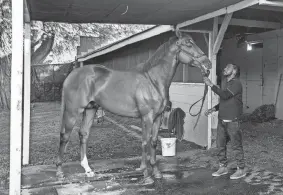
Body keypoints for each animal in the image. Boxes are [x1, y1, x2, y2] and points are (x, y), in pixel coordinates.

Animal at [55, 31, 212, 184]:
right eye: (188, 44)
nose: (208, 63)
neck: (153, 80)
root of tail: (71, 76)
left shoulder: (158, 117)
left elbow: (153, 142)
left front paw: (157, 172)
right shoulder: (147, 117)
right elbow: (145, 142)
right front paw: (146, 174)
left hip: (90, 110)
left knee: (83, 134)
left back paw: (88, 170)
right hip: (73, 111)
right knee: (64, 136)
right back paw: (60, 172)